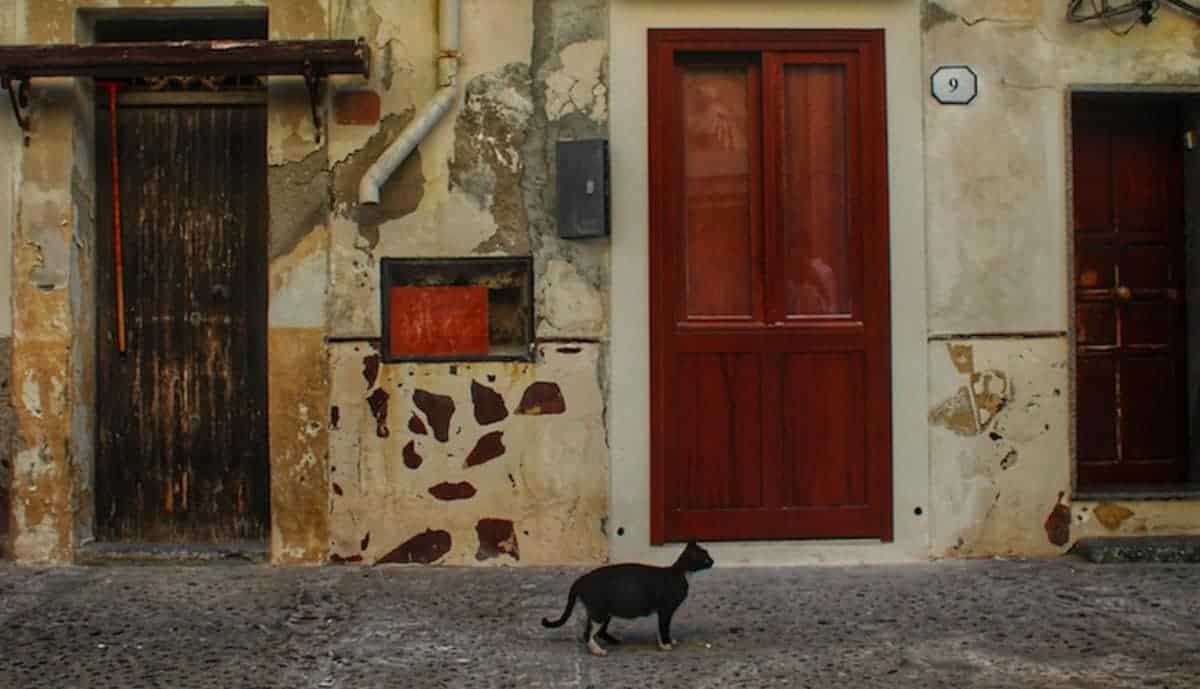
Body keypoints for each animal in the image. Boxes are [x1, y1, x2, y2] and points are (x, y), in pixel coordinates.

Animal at [537, 540, 710, 657]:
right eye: (706, 558)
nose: (713, 561)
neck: (680, 573)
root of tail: (581, 579)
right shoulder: (666, 610)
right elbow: (664, 627)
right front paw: (666, 645)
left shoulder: (662, 612)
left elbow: (661, 628)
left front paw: (666, 641)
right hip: (599, 612)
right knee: (587, 634)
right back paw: (597, 650)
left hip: (605, 612)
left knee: (599, 631)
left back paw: (614, 641)